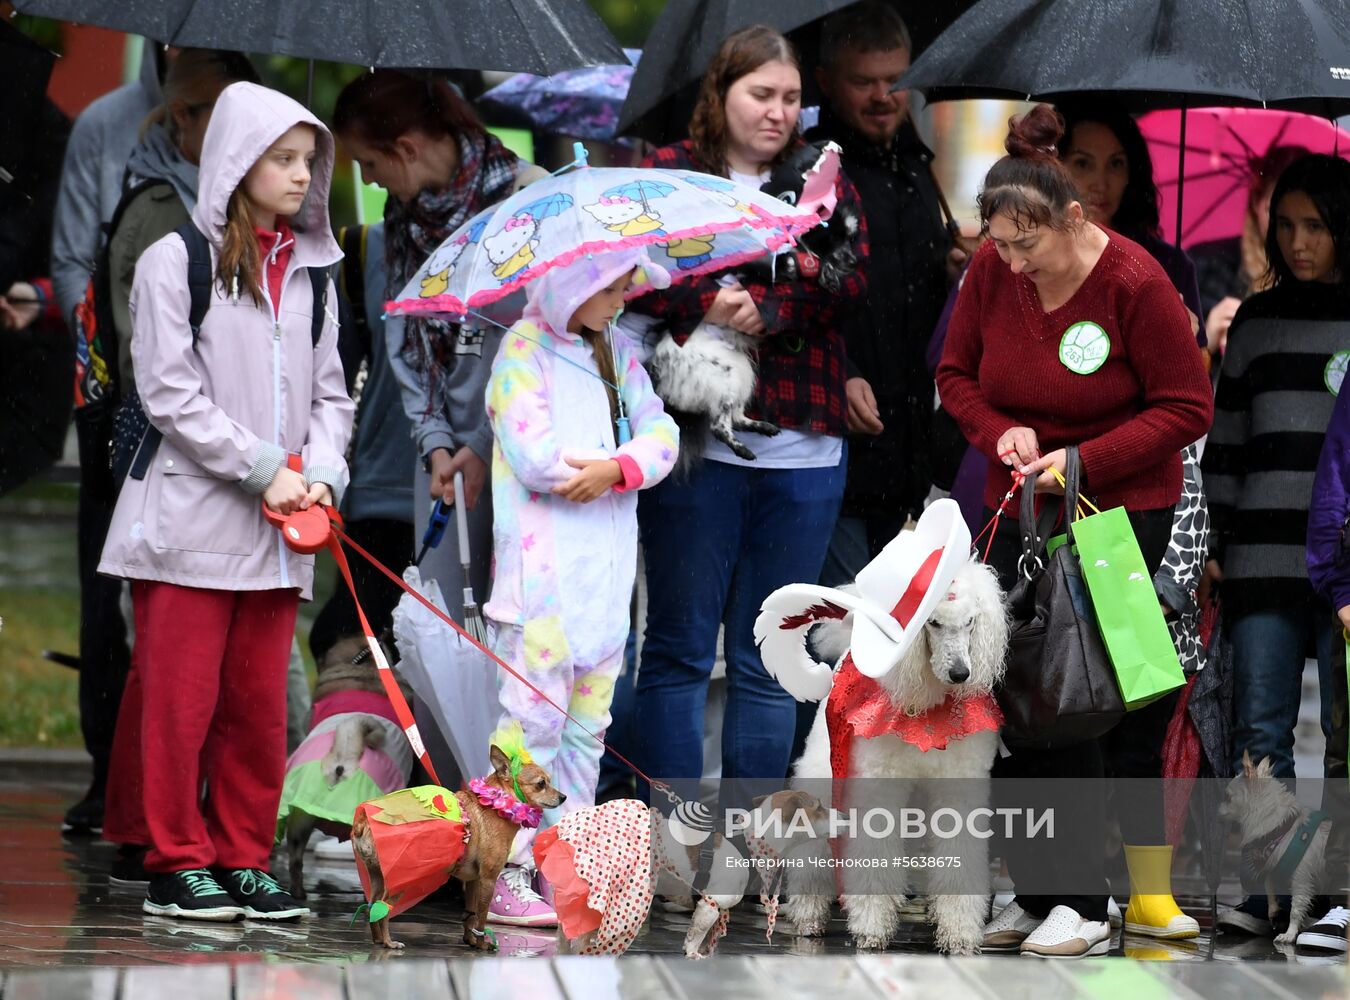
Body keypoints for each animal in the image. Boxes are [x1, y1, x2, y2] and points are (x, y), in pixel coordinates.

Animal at [645, 142, 858, 461]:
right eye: (830, 237)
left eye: (850, 238)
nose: (855, 262)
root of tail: (660, 371)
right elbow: (789, 264)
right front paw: (821, 270)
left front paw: (823, 272)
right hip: (724, 372)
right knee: (719, 425)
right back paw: (743, 449)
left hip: (741, 371)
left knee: (735, 416)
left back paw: (761, 427)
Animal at [1220, 750, 1333, 944]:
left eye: (1227, 797)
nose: (1216, 812)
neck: (1281, 829)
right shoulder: (1272, 865)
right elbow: (1269, 887)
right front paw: (1273, 913)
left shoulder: (1301, 880)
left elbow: (1296, 908)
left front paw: (1290, 934)